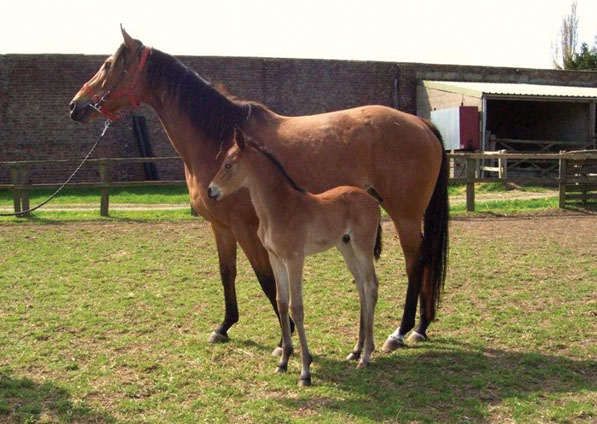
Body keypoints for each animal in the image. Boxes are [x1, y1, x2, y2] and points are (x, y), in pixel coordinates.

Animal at [207, 131, 380, 386]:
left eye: (228, 164)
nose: (210, 191)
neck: (280, 209)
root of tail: (370, 198)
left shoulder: (294, 259)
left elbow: (296, 307)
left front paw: (305, 371)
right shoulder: (275, 258)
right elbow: (281, 301)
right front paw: (284, 360)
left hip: (363, 247)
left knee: (371, 286)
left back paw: (366, 356)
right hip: (345, 247)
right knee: (361, 286)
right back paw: (356, 350)